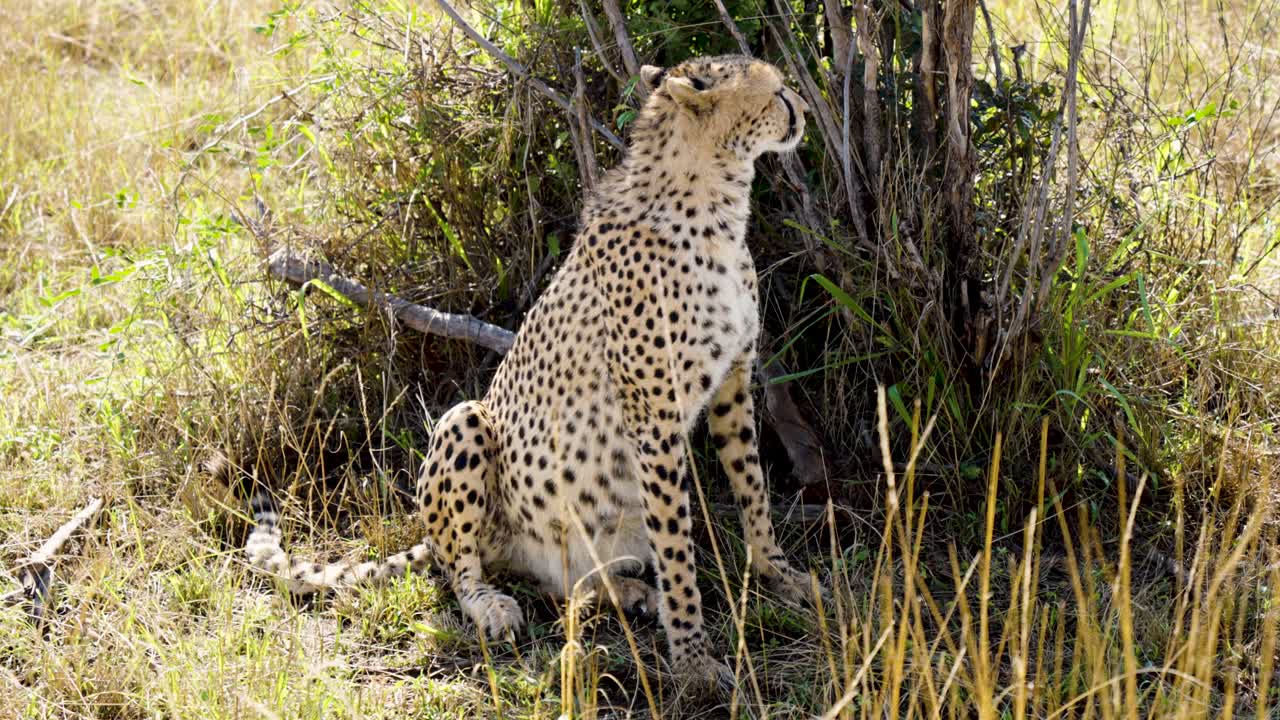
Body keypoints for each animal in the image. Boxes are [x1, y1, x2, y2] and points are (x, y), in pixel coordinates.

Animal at [244, 54, 814, 696]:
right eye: (777, 93)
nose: (804, 108)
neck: (713, 203)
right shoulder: (653, 416)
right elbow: (677, 548)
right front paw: (694, 659)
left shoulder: (734, 383)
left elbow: (753, 489)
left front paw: (778, 575)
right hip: (466, 424)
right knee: (461, 567)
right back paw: (494, 606)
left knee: (569, 583)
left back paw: (626, 591)